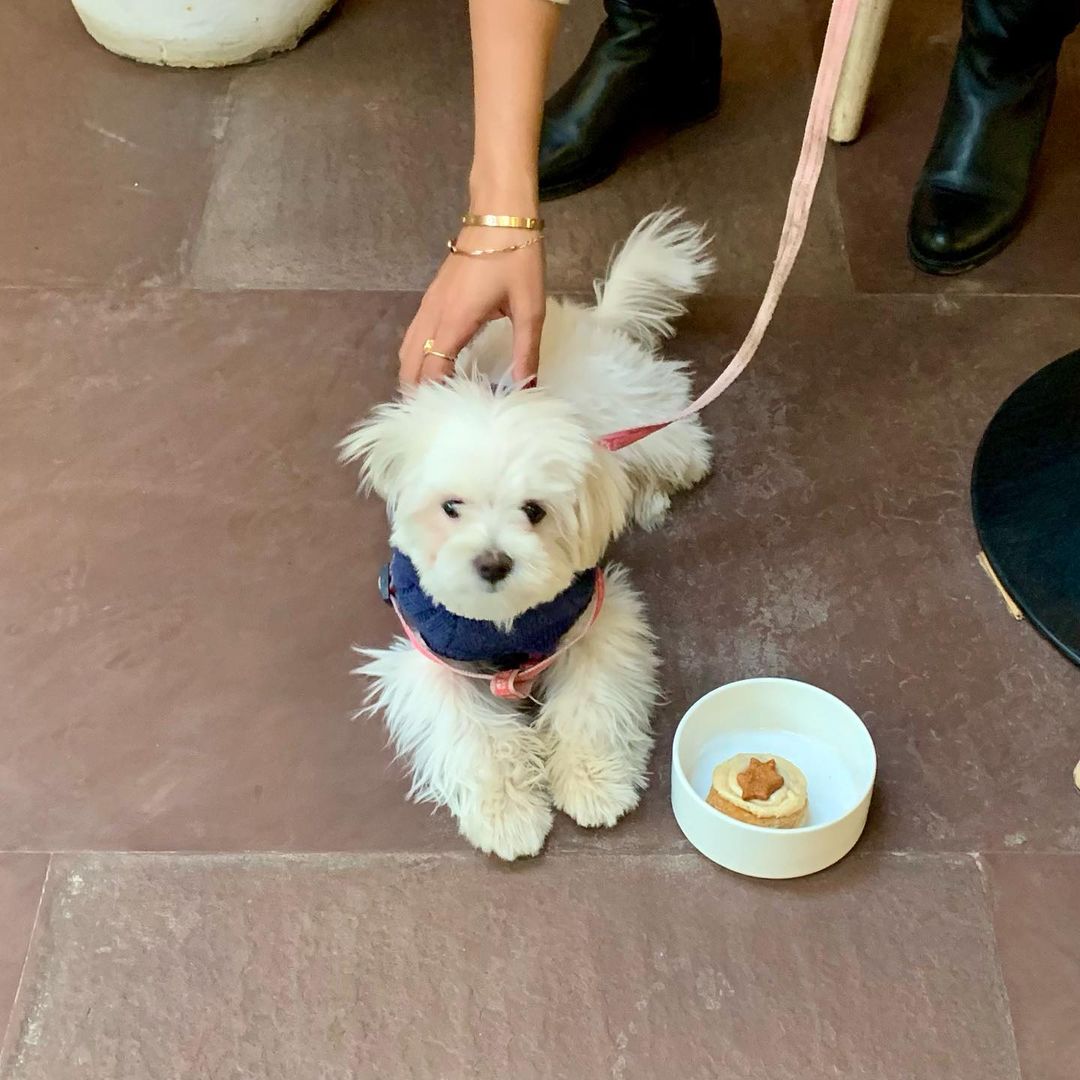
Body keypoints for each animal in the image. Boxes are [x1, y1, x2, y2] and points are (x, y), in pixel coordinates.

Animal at [340, 210, 715, 860]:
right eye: (451, 506)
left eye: (534, 511)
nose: (492, 562)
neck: (503, 623)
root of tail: (590, 320)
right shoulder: (430, 659)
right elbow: (475, 737)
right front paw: (507, 813)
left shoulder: (597, 621)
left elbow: (591, 704)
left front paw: (594, 783)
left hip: (642, 426)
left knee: (681, 447)